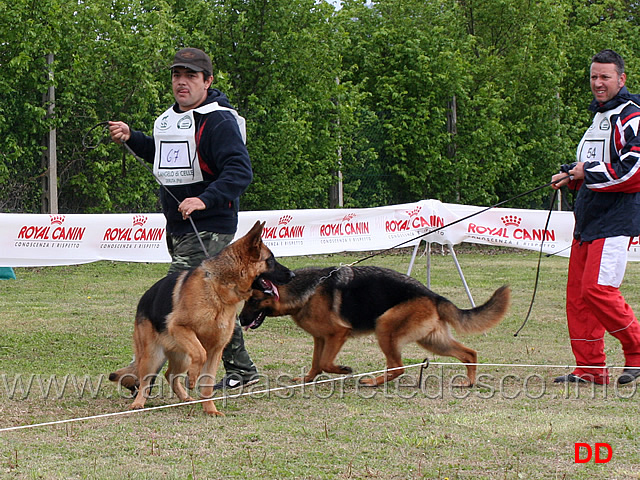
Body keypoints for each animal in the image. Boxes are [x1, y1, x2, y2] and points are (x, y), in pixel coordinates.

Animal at [109, 223, 294, 414]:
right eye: (270, 261)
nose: (293, 275)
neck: (218, 290)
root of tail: (143, 299)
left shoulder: (216, 351)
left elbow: (207, 383)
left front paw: (210, 409)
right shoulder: (180, 328)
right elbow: (200, 353)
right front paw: (192, 378)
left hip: (181, 356)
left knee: (170, 374)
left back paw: (184, 397)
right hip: (153, 356)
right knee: (145, 380)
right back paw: (138, 403)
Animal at [240, 264, 510, 388]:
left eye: (253, 300)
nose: (240, 321)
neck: (305, 291)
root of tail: (433, 295)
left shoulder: (338, 334)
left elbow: (326, 362)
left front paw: (343, 369)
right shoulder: (320, 338)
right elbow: (316, 363)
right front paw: (307, 379)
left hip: (385, 327)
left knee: (398, 366)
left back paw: (373, 382)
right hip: (432, 341)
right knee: (469, 353)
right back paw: (469, 382)